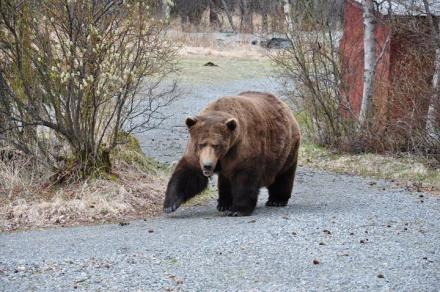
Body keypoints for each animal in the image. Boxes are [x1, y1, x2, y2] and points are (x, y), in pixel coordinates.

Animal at [163, 92, 300, 217]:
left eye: (216, 145)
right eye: (201, 144)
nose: (207, 166)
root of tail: (285, 107)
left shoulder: (241, 148)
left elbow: (244, 177)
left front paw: (237, 210)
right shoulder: (197, 154)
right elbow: (189, 173)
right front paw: (170, 205)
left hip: (286, 150)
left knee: (284, 174)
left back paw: (277, 200)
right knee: (225, 180)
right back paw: (224, 203)